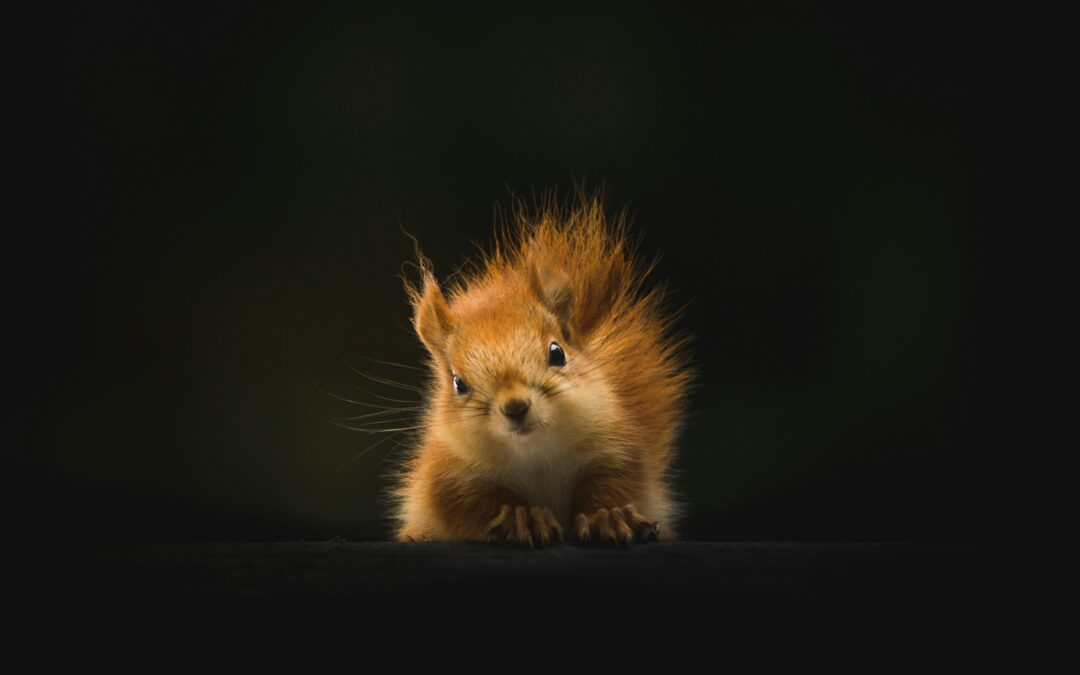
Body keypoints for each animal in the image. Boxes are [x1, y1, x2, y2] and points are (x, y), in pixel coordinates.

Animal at [390, 193, 692, 546]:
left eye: (557, 353)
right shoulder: (448, 475)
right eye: (458, 383)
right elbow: (474, 503)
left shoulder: (617, 446)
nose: (516, 407)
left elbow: (613, 483)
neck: (536, 455)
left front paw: (608, 516)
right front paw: (522, 518)